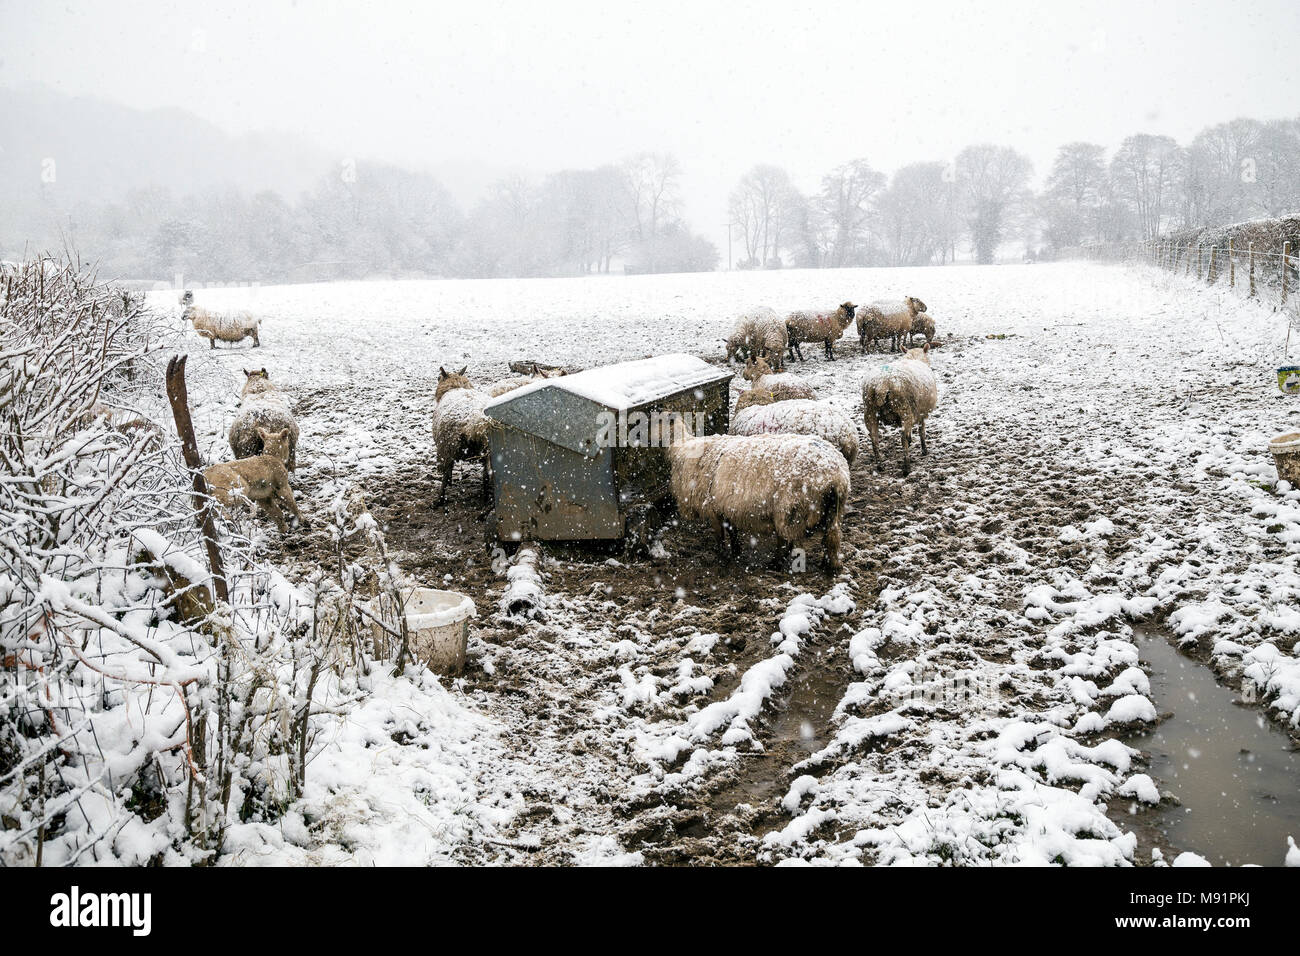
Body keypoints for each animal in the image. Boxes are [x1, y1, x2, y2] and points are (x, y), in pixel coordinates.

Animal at [431, 364, 491, 504]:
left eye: (438, 377)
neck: (456, 386)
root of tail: (475, 423)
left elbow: (448, 473)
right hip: (488, 452)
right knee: (486, 475)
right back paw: (486, 499)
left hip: (447, 446)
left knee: (445, 473)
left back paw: (439, 500)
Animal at [665, 421, 847, 572]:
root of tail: (836, 476)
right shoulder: (727, 506)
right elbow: (732, 531)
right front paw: (736, 552)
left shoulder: (713, 509)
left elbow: (720, 536)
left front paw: (722, 555)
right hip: (831, 512)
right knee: (832, 538)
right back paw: (829, 565)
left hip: (790, 510)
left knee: (785, 542)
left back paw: (774, 565)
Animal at [857, 345, 941, 476]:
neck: (914, 358)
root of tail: (881, 384)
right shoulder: (921, 413)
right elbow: (921, 432)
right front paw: (924, 450)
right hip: (904, 410)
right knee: (902, 438)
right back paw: (907, 467)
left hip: (870, 412)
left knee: (874, 439)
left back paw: (880, 466)